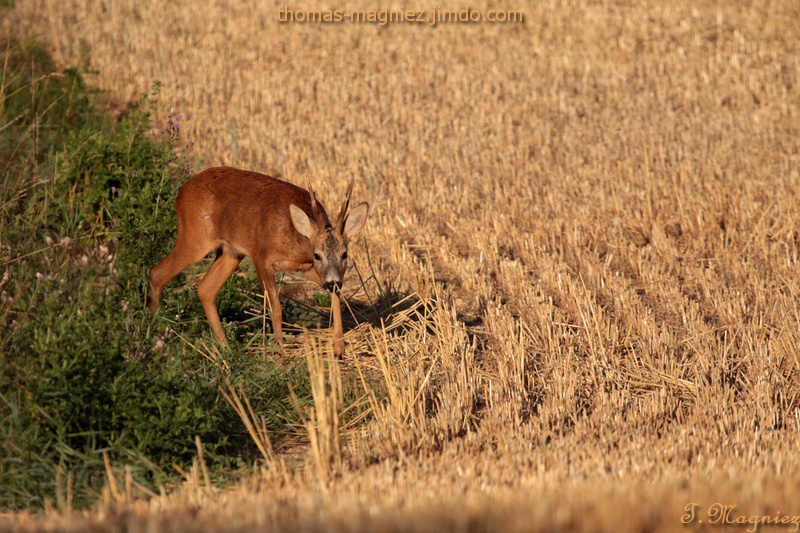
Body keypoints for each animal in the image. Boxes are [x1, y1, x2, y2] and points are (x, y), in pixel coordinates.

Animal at [148, 168, 370, 356]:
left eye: (344, 254)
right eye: (317, 255)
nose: (334, 282)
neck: (294, 238)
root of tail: (181, 192)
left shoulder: (308, 268)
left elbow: (337, 298)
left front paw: (339, 348)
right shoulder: (261, 256)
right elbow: (276, 309)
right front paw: (280, 354)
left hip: (231, 253)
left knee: (205, 288)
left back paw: (225, 349)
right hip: (195, 239)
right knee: (157, 273)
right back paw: (153, 333)